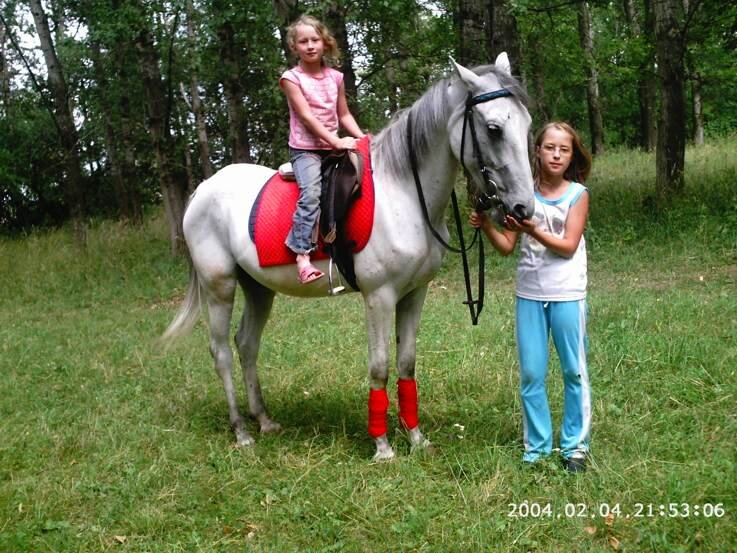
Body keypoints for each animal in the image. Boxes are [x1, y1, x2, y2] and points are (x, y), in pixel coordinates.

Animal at [164, 55, 536, 462]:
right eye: (494, 129)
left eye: (527, 124)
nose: (523, 208)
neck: (404, 191)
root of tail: (203, 189)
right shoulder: (379, 296)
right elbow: (379, 367)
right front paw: (382, 446)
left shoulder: (414, 294)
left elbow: (407, 363)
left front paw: (416, 437)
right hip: (220, 286)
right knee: (221, 353)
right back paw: (241, 431)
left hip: (258, 288)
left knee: (246, 345)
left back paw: (263, 420)